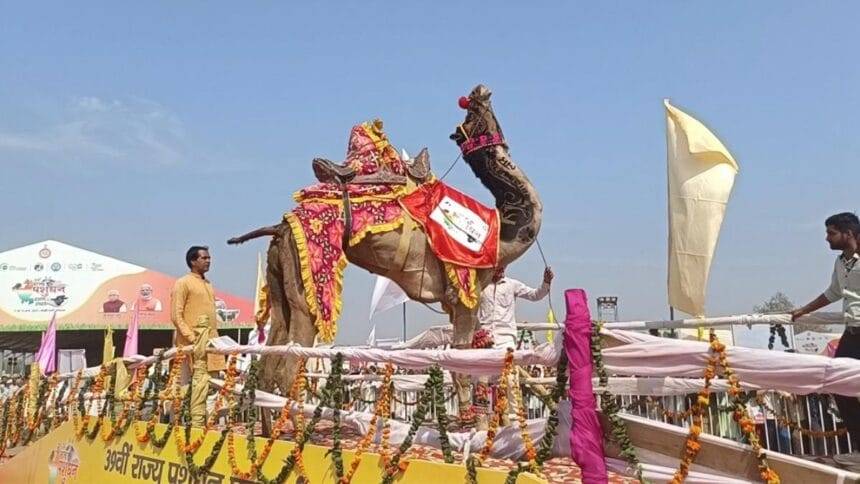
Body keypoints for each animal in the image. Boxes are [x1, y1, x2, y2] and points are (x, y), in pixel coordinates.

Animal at [225, 84, 540, 424]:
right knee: (288, 368)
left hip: (280, 274)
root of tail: (280, 226)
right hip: (310, 276)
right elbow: (463, 358)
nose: (481, 89)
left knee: (269, 362)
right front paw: (472, 424)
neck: (500, 234)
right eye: (477, 111)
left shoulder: (455, 300)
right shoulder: (465, 290)